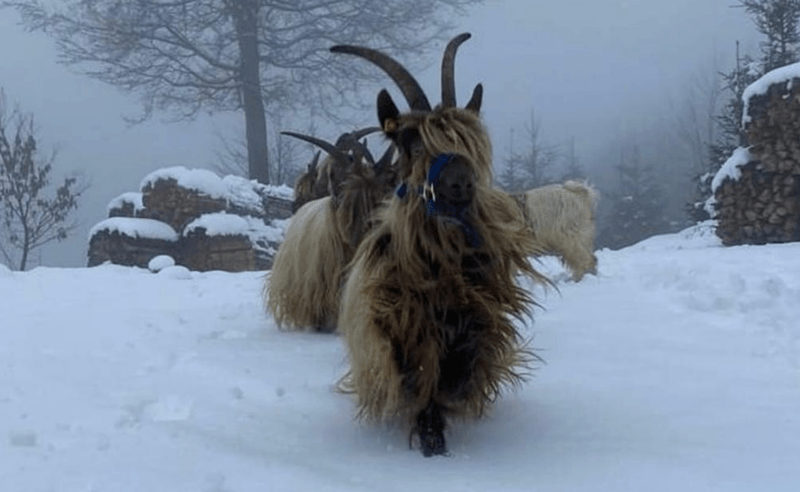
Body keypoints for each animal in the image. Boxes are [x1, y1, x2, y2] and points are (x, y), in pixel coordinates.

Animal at [332, 33, 550, 457]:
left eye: (470, 145)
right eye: (414, 145)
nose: (461, 185)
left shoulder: (476, 313)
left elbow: (463, 364)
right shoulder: (401, 321)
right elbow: (419, 373)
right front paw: (431, 436)